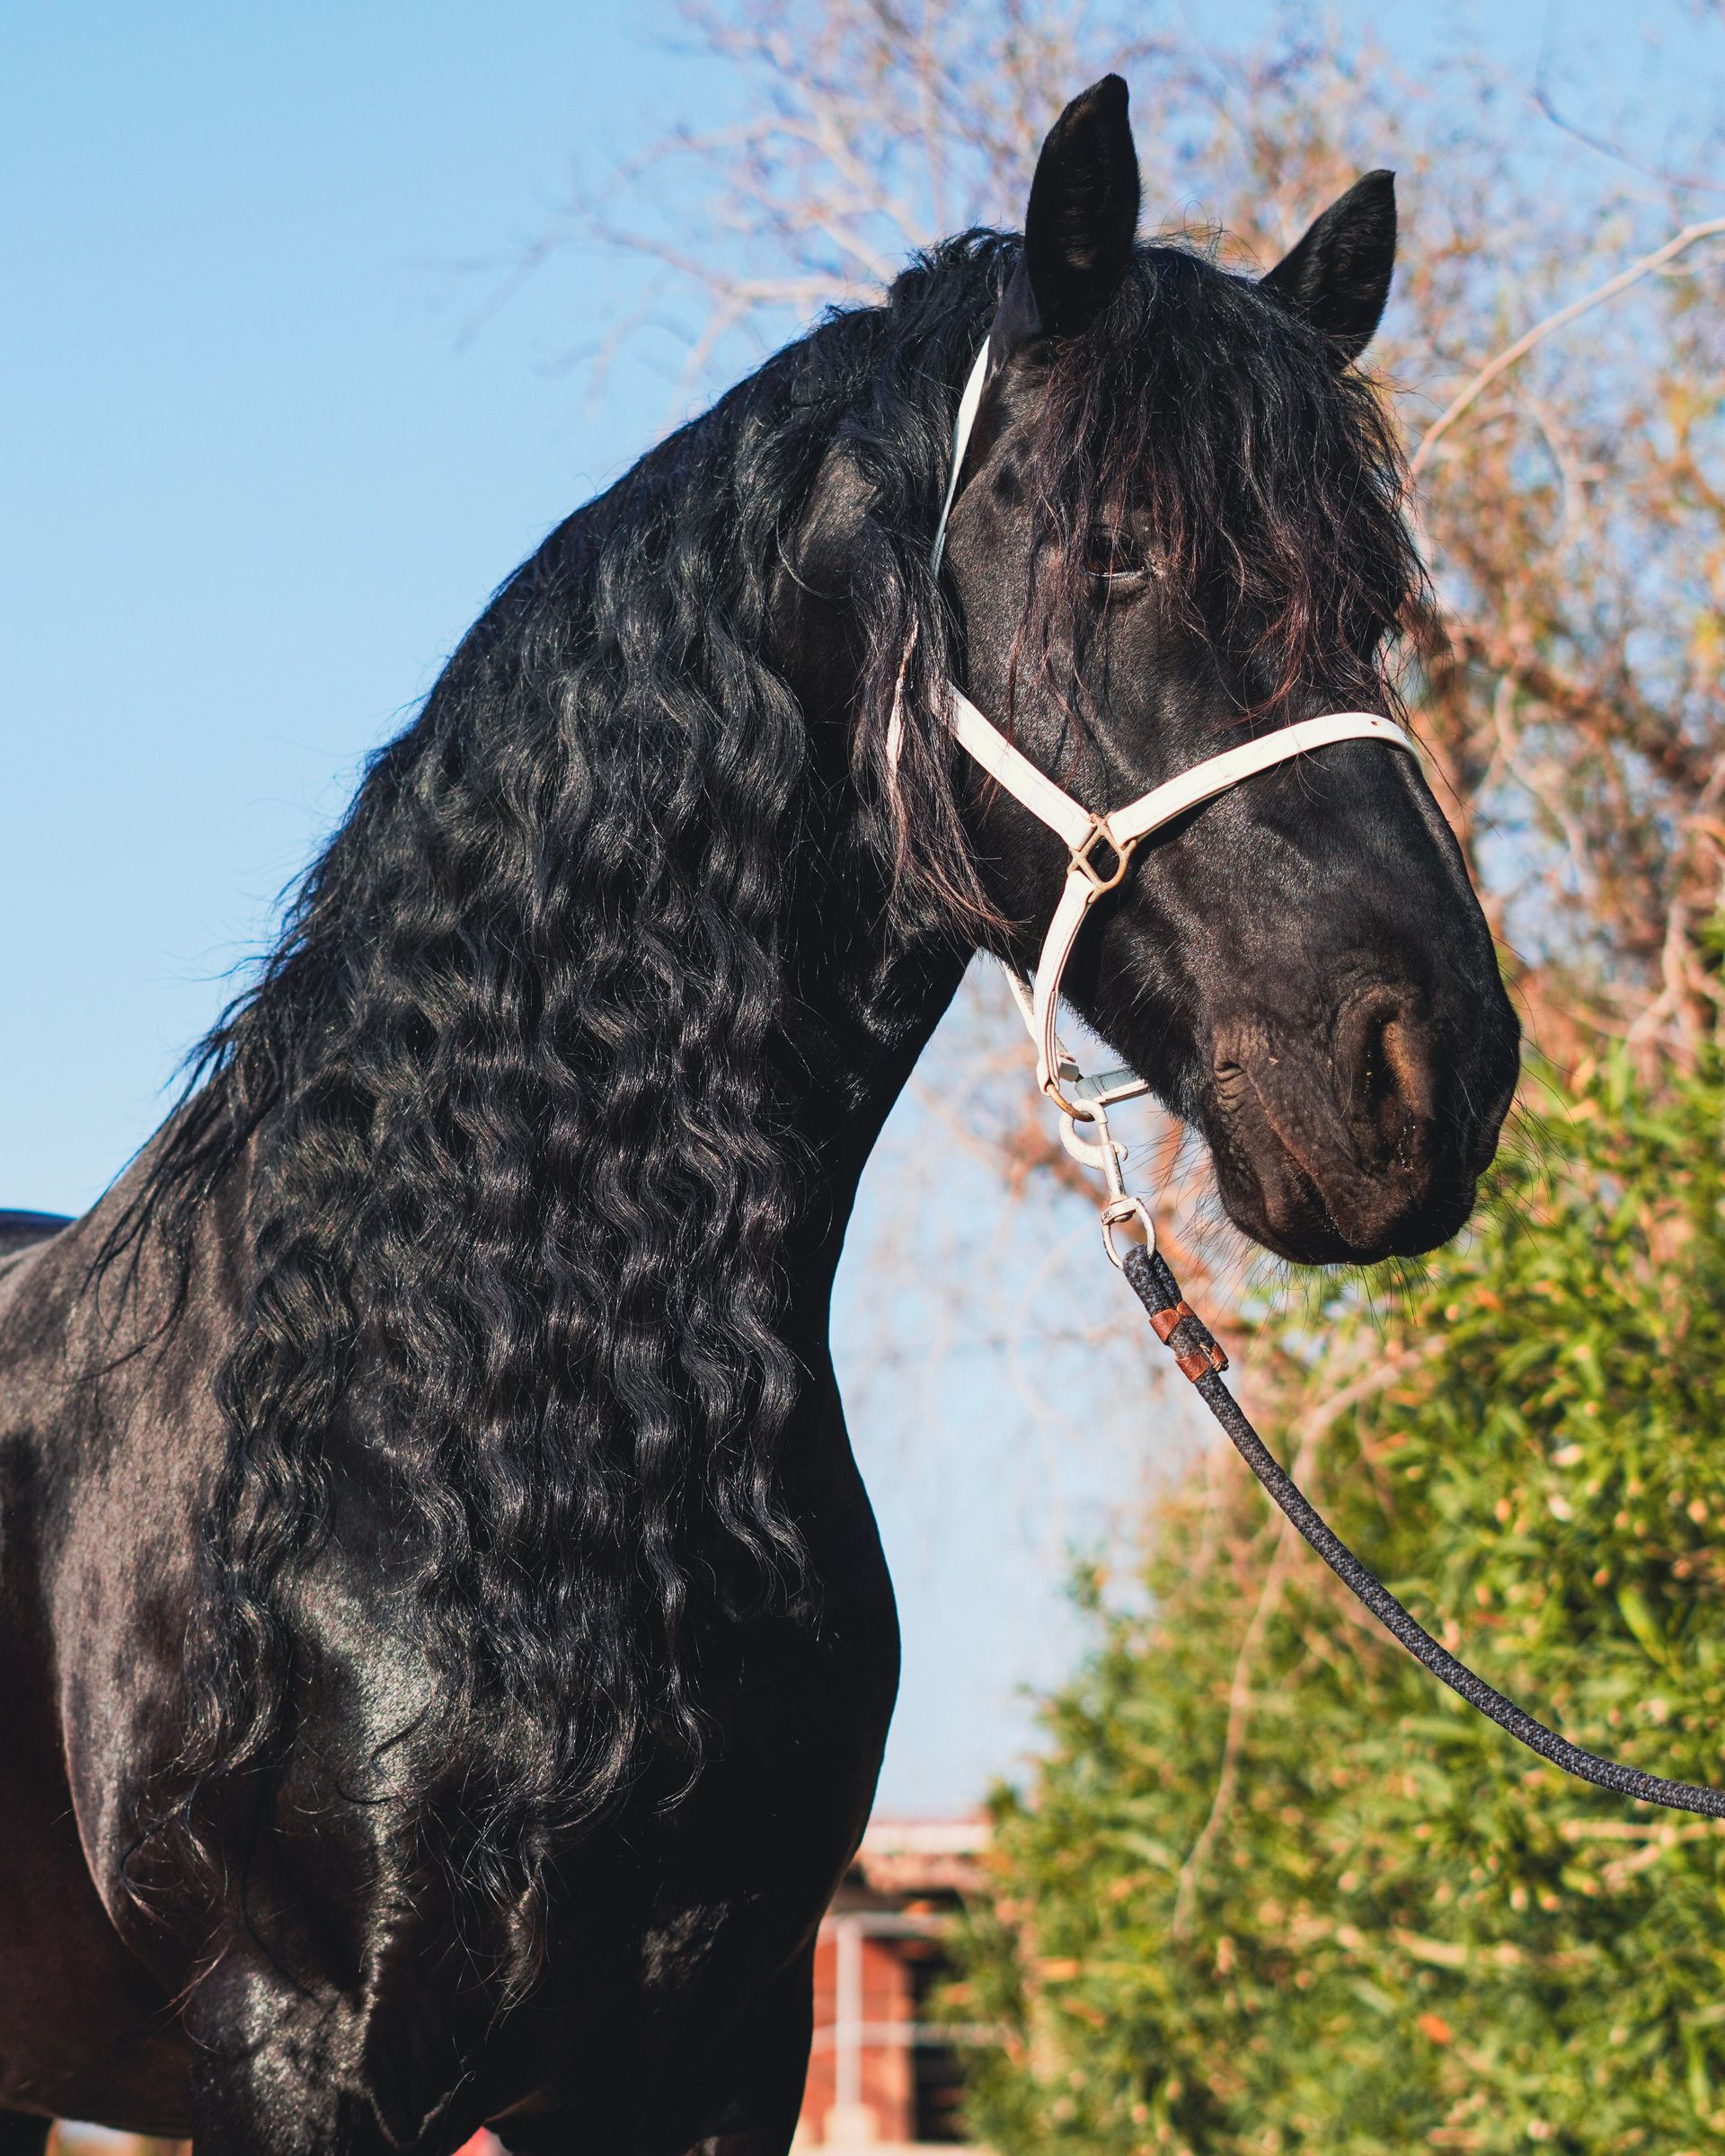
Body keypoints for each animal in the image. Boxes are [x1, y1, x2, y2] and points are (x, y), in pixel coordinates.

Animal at [0, 75, 1518, 2156]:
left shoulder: (713, 2049)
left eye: (1374, 605)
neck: (472, 1381)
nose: (1432, 1071)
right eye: (1121, 551)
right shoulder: (303, 2055)